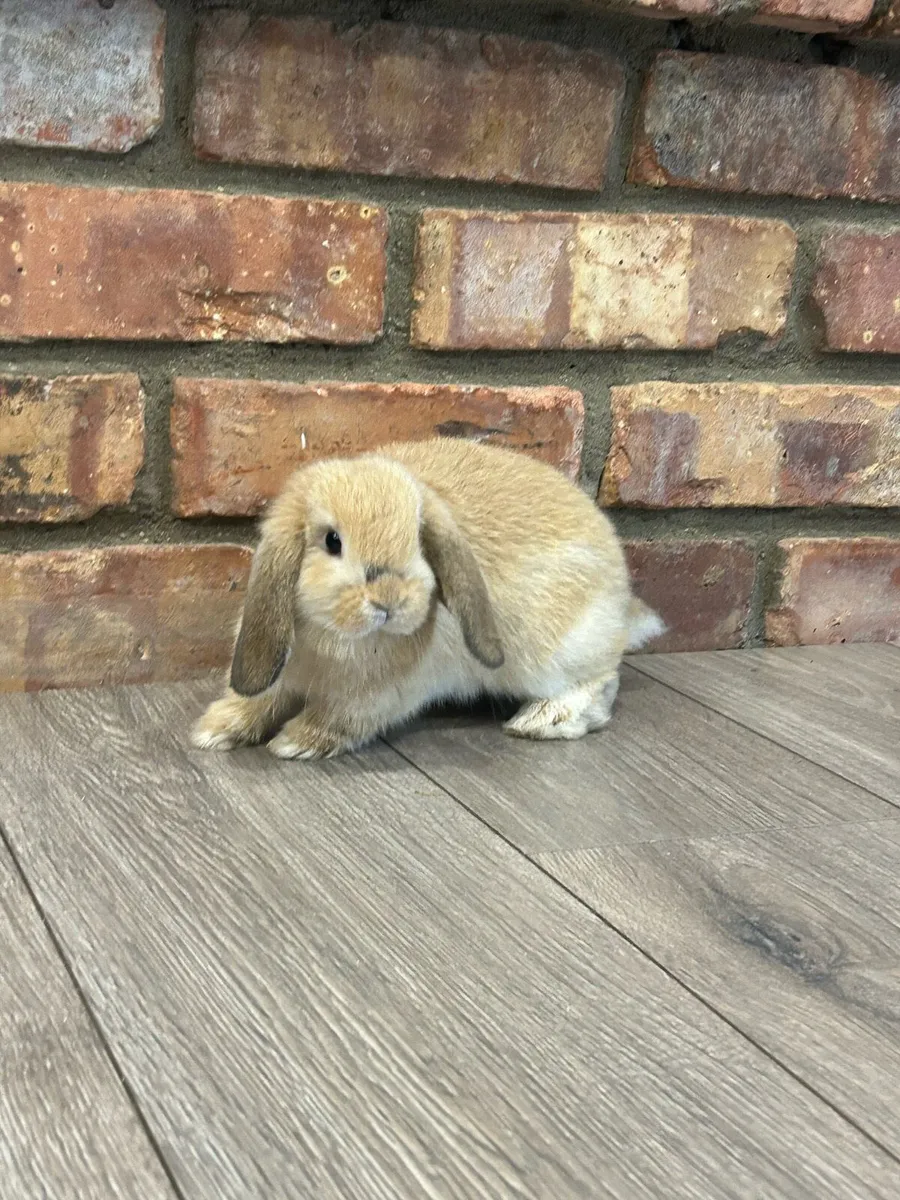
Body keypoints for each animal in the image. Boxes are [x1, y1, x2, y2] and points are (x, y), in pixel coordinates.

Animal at [192, 438, 664, 760]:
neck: (336, 639)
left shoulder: (377, 695)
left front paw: (295, 742)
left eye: (418, 539)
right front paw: (214, 730)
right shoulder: (282, 673)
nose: (390, 600)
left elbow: (341, 718)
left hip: (559, 656)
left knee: (600, 684)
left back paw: (542, 721)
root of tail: (623, 603)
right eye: (332, 541)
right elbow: (256, 701)